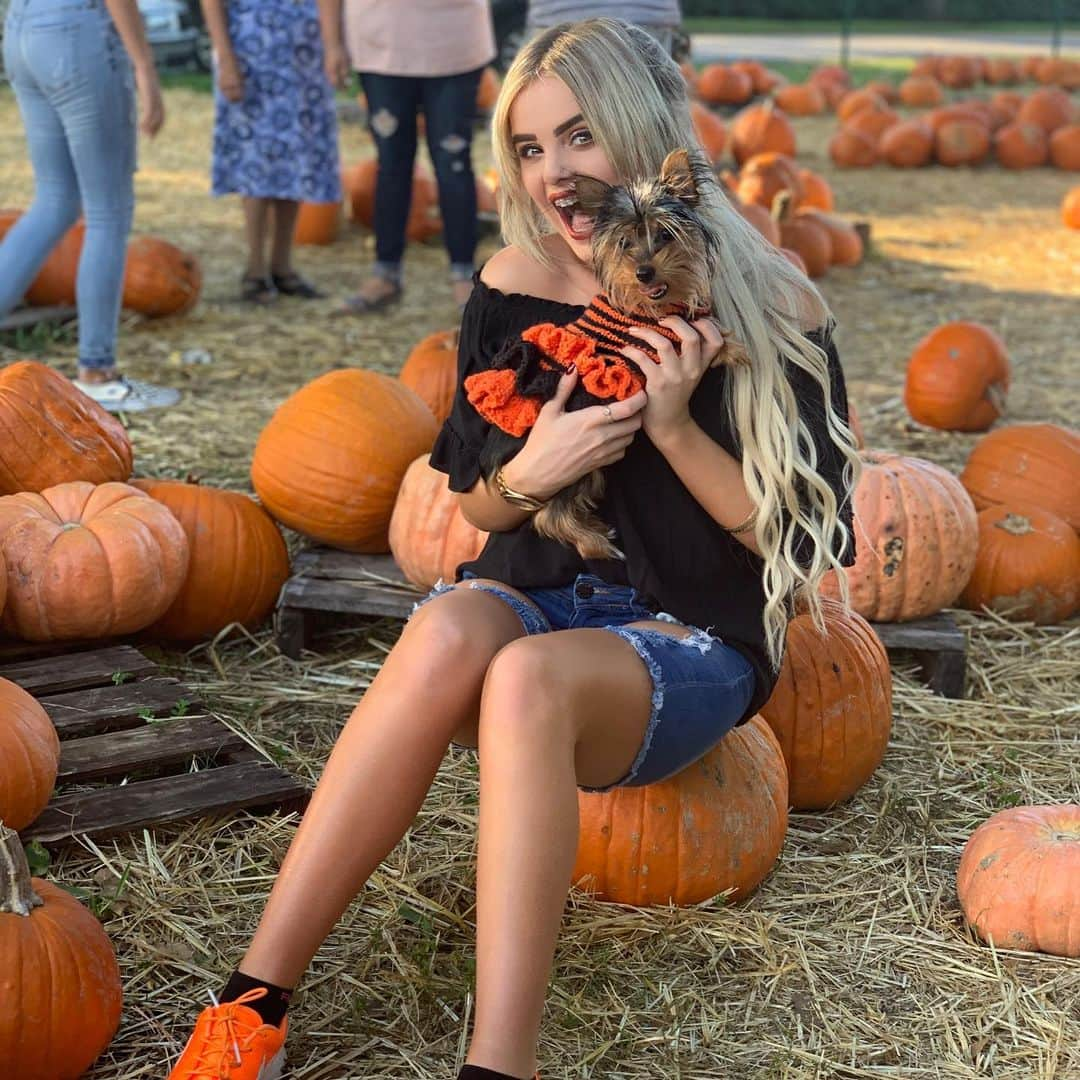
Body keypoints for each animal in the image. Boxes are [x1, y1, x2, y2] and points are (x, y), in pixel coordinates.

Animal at [464, 145, 751, 557]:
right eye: (624, 244)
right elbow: (706, 334)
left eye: (664, 235)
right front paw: (734, 348)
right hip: (577, 465)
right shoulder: (660, 341)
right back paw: (597, 543)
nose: (644, 272)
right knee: (550, 516)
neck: (657, 304)